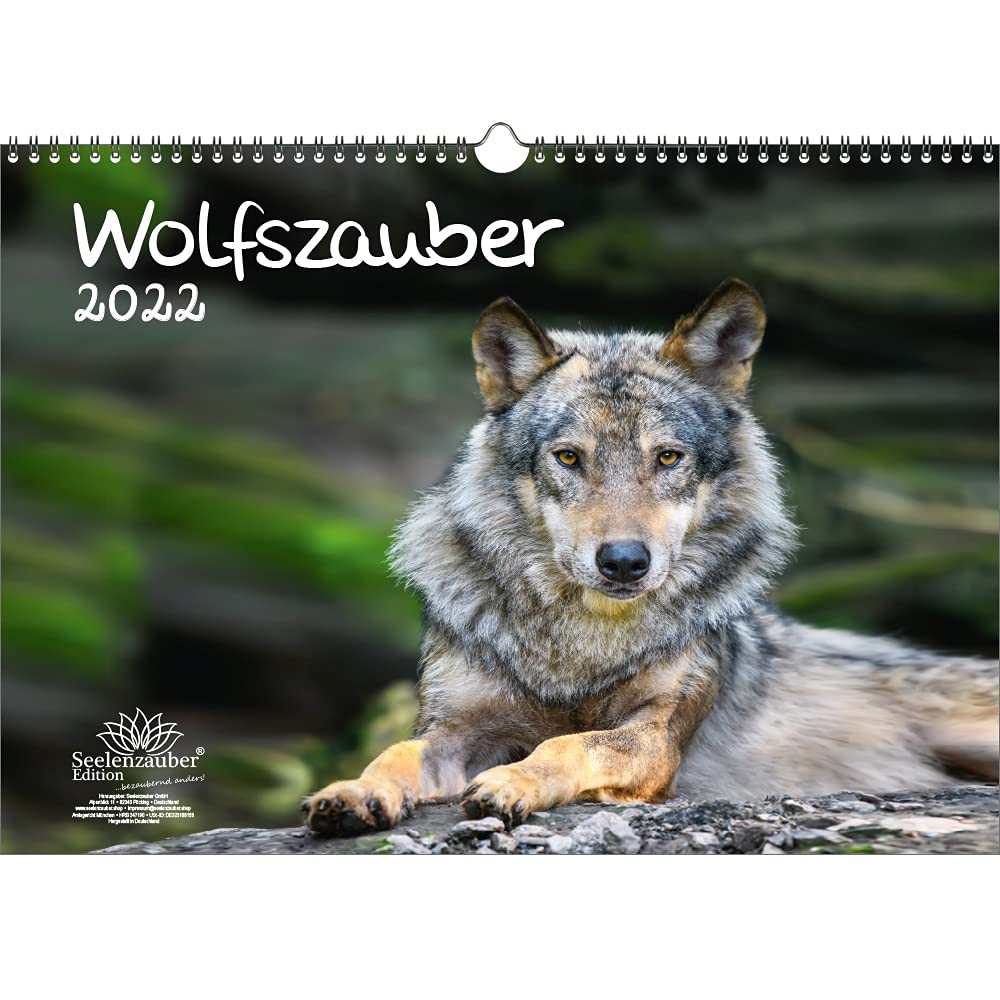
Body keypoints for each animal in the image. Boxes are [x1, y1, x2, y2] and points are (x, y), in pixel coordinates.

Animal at [304, 279, 999, 835]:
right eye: (568, 457)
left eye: (667, 458)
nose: (622, 561)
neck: (582, 646)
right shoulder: (456, 729)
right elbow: (396, 753)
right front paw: (353, 792)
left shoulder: (656, 738)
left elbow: (568, 743)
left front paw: (514, 782)